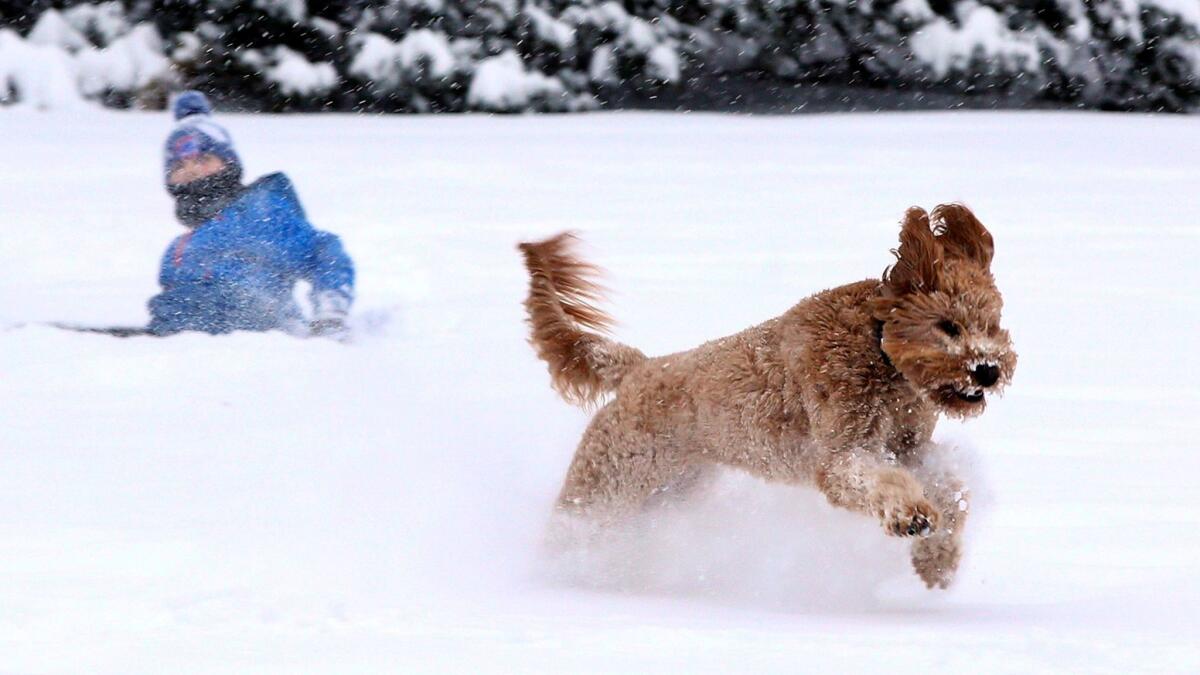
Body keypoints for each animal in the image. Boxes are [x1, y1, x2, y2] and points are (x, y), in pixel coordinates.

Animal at [520, 201, 1017, 586]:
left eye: (992, 323)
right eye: (947, 325)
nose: (988, 370)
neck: (879, 350)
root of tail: (638, 367)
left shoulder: (910, 447)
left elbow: (951, 488)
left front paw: (938, 560)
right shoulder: (843, 452)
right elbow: (876, 481)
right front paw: (909, 514)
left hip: (672, 490)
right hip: (607, 481)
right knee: (566, 530)